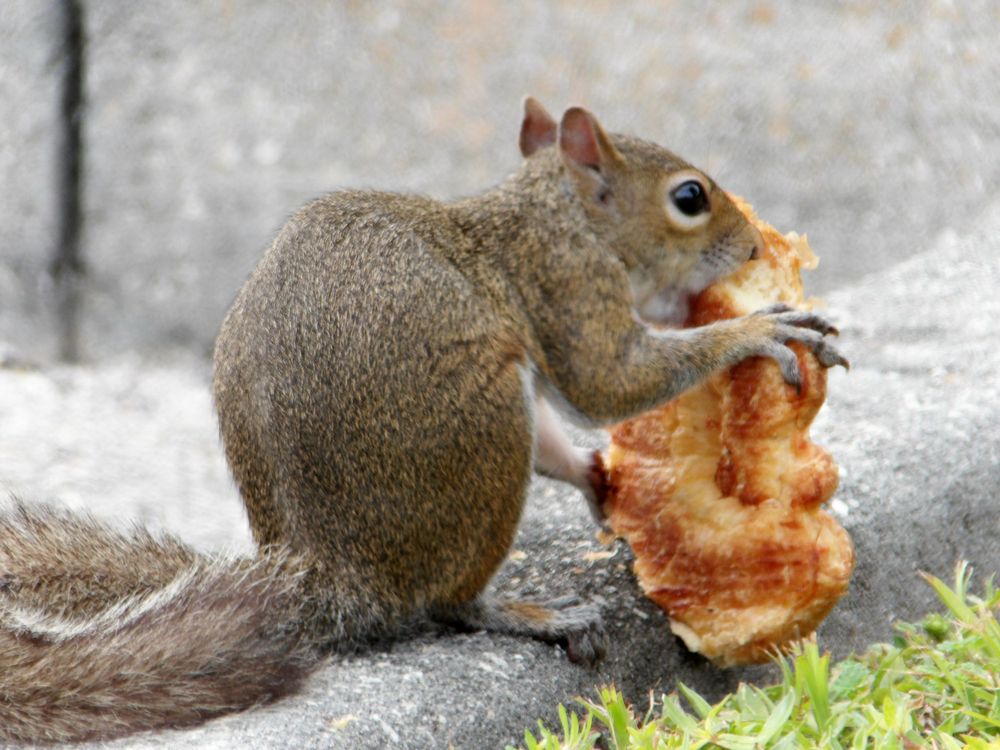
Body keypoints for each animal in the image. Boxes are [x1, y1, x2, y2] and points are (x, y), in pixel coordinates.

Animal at [0, 98, 846, 745]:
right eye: (690, 198)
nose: (750, 246)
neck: (554, 215)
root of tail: (336, 579)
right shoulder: (570, 289)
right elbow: (610, 383)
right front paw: (759, 329)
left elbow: (564, 439)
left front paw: (602, 482)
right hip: (483, 434)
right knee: (452, 603)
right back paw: (530, 613)